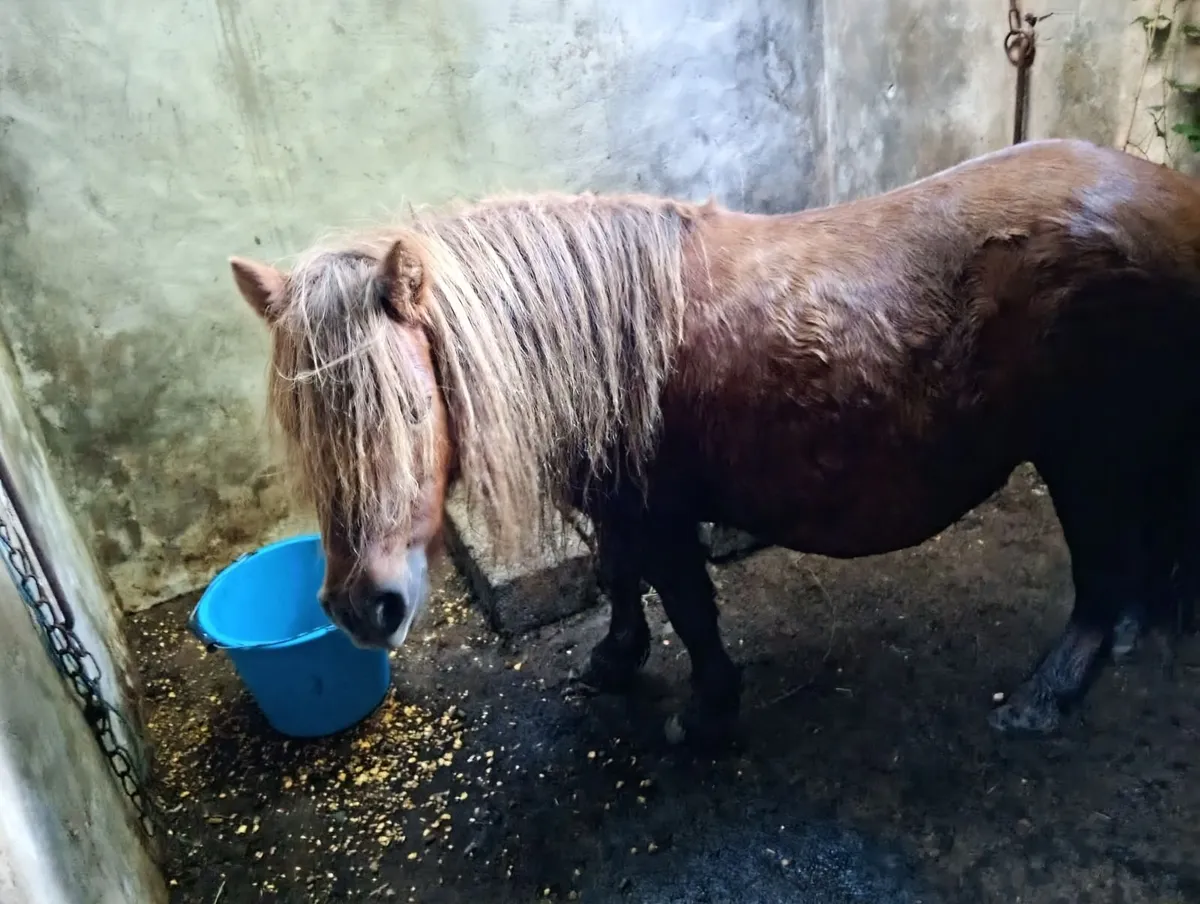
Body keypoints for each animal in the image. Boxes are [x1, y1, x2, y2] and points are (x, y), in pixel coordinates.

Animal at [230, 137, 1200, 748]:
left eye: (408, 411)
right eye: (306, 429)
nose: (365, 608)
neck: (596, 339)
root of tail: (1172, 196)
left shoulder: (661, 517)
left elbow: (688, 607)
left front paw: (702, 716)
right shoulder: (617, 504)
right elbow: (619, 579)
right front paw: (615, 662)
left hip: (1084, 454)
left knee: (1101, 568)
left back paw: (1049, 694)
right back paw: (1127, 634)